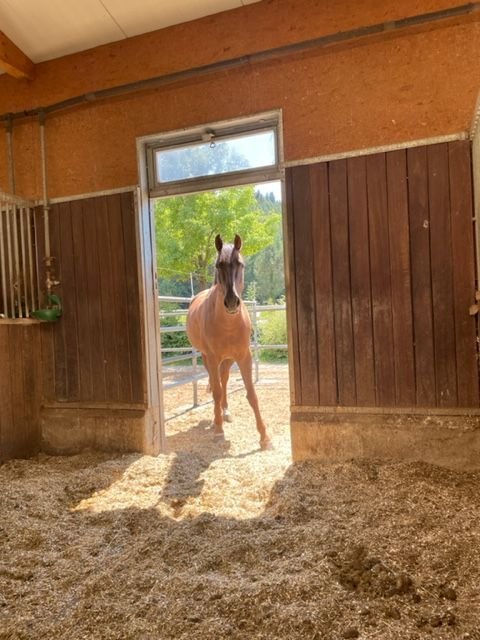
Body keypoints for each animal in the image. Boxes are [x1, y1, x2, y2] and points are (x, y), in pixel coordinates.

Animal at [187, 235, 272, 450]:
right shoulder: (213, 357)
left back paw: (225, 412)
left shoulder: (244, 357)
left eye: (240, 263)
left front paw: (264, 437)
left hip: (228, 359)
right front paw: (218, 430)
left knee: (224, 379)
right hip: (207, 358)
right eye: (218, 265)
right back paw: (217, 418)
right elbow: (216, 391)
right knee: (215, 383)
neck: (227, 324)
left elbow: (252, 394)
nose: (232, 302)